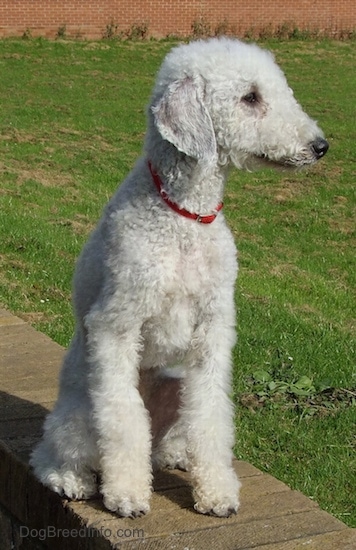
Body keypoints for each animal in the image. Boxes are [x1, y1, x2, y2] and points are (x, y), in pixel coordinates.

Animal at [31, 36, 328, 520]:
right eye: (250, 97)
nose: (321, 146)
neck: (184, 216)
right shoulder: (116, 324)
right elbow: (123, 421)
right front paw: (127, 495)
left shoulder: (213, 330)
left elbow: (211, 417)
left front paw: (218, 493)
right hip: (78, 413)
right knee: (59, 449)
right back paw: (71, 479)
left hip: (174, 388)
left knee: (168, 438)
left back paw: (173, 456)